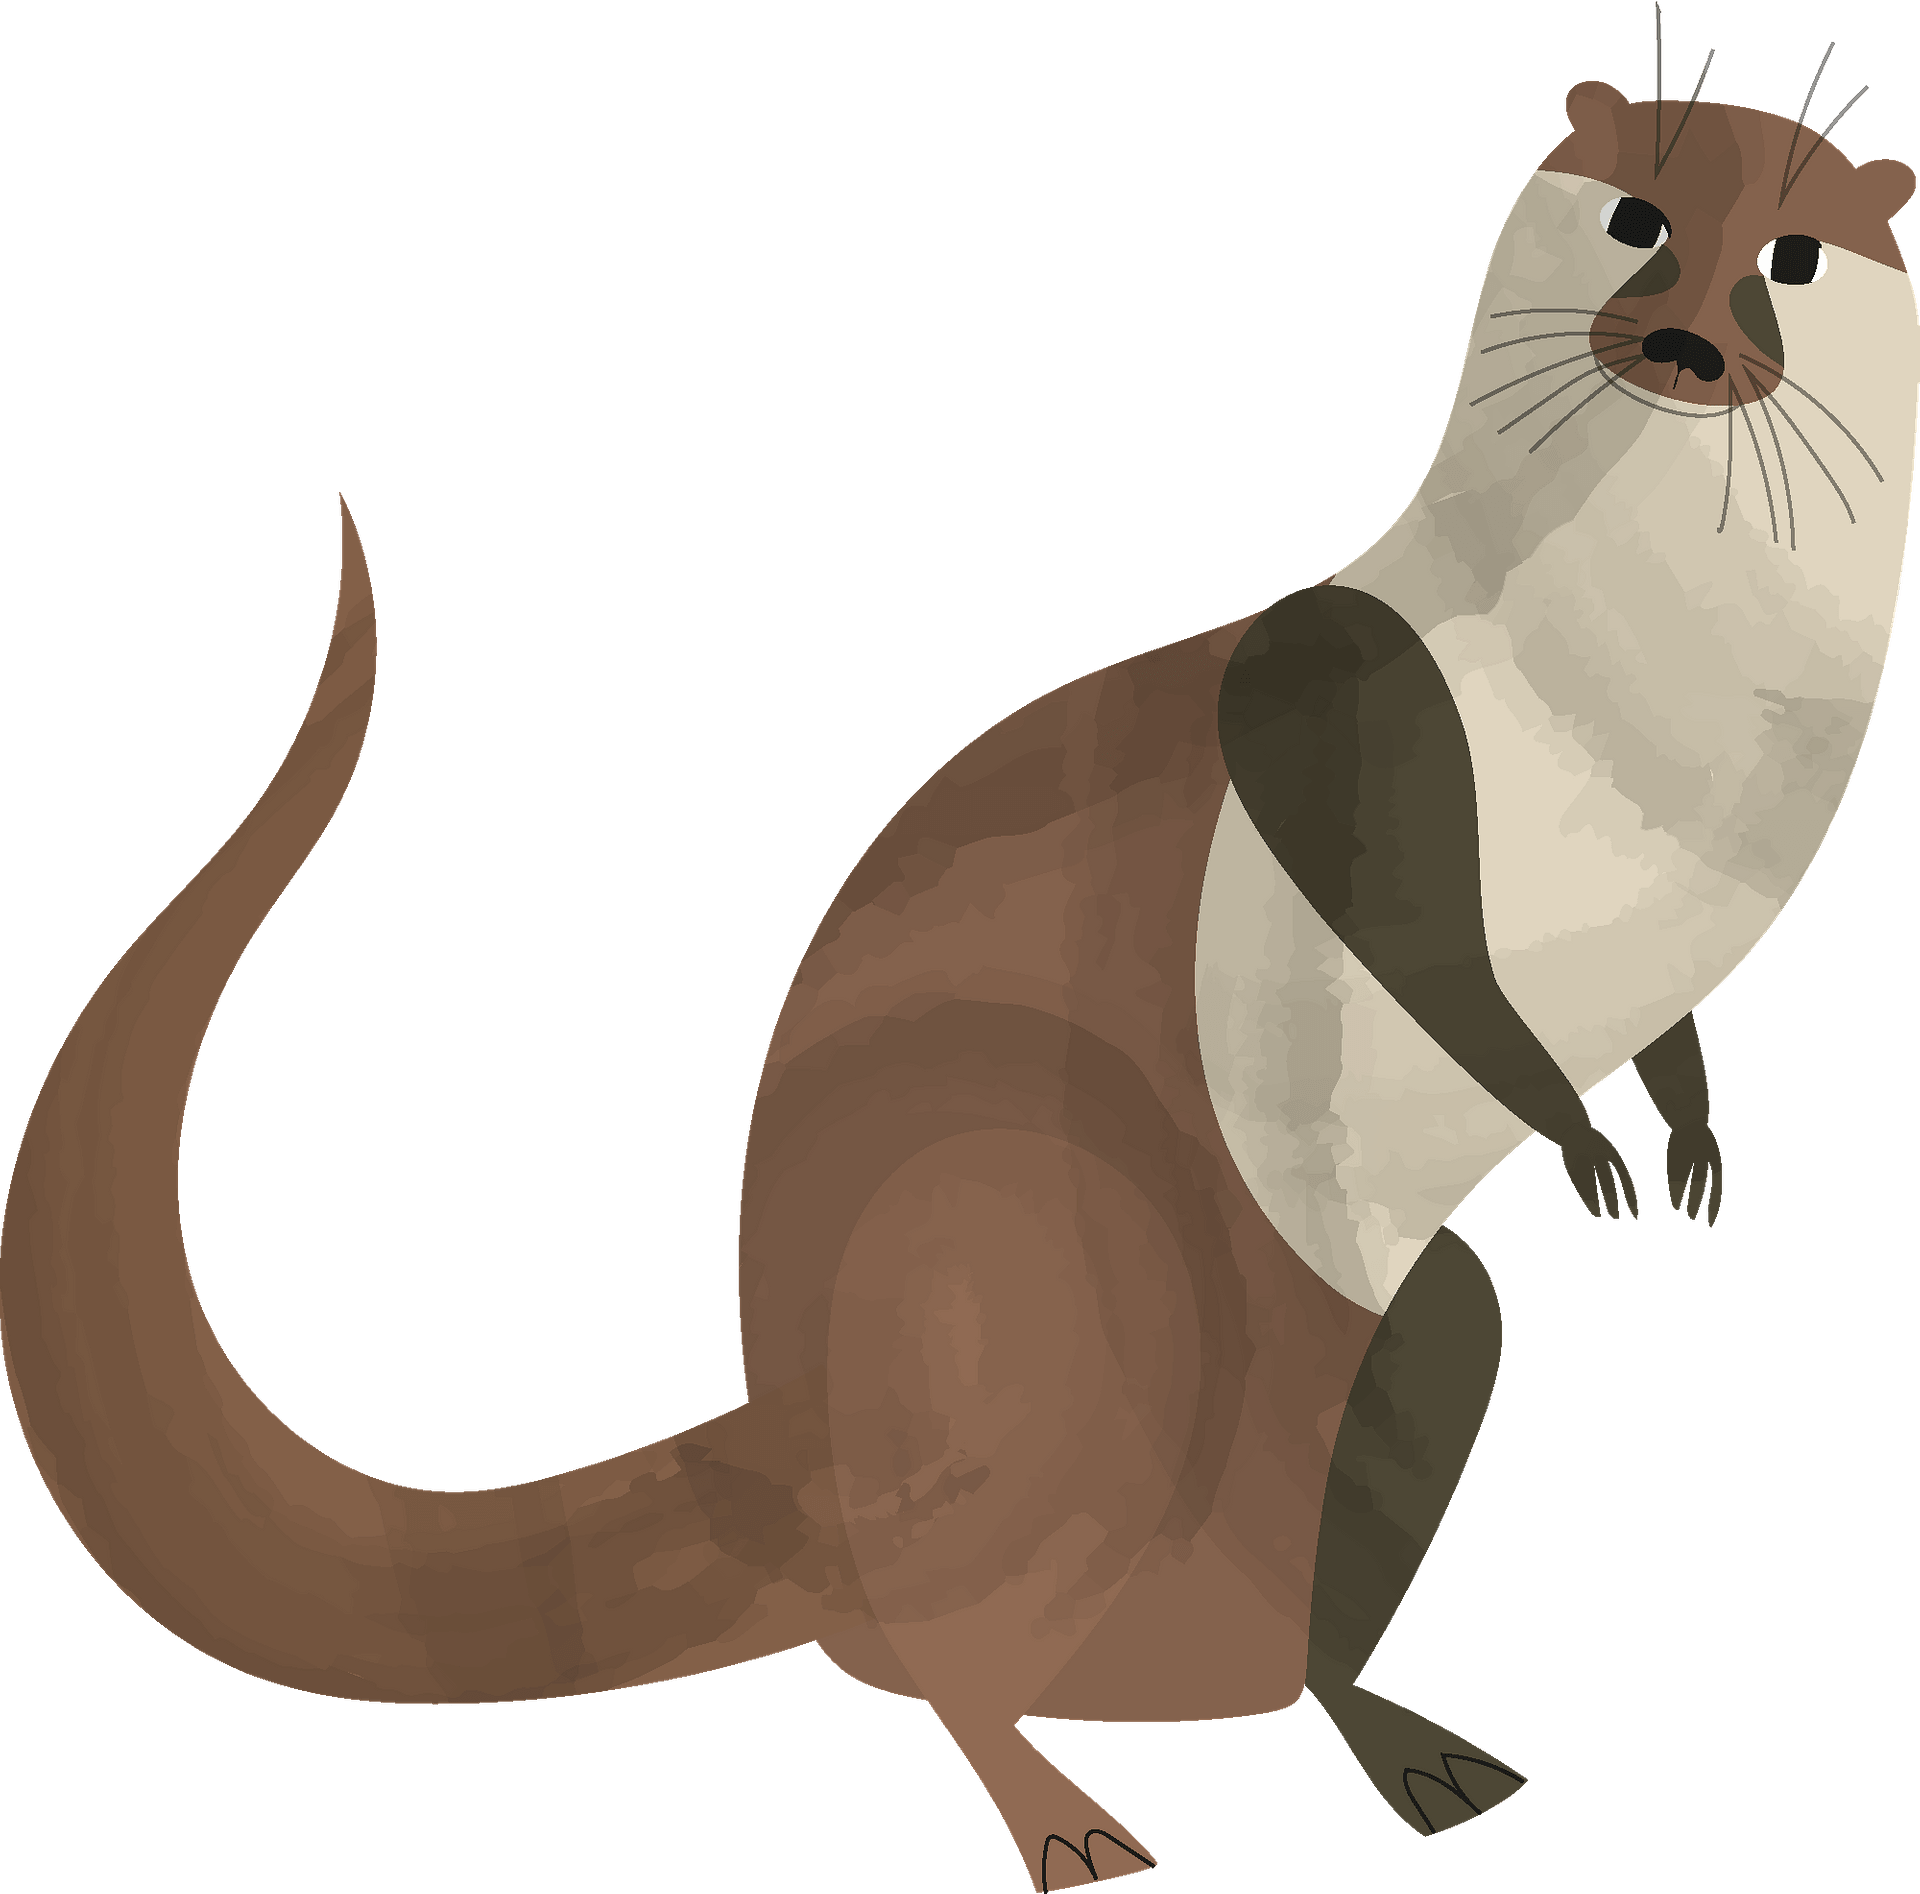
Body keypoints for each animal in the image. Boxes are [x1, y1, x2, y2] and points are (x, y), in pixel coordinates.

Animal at [2, 46, 1912, 1894]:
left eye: (1797, 251)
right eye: (1635, 214)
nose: (1692, 338)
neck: (1644, 712)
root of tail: (791, 1437)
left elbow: (1675, 1027)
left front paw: (1688, 1139)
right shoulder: (1354, 710)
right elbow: (1433, 954)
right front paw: (1573, 1126)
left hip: (1377, 1332)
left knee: (1393, 1435)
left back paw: (1397, 1739)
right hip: (1029, 1247)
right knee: (933, 1630)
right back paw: (1058, 1815)